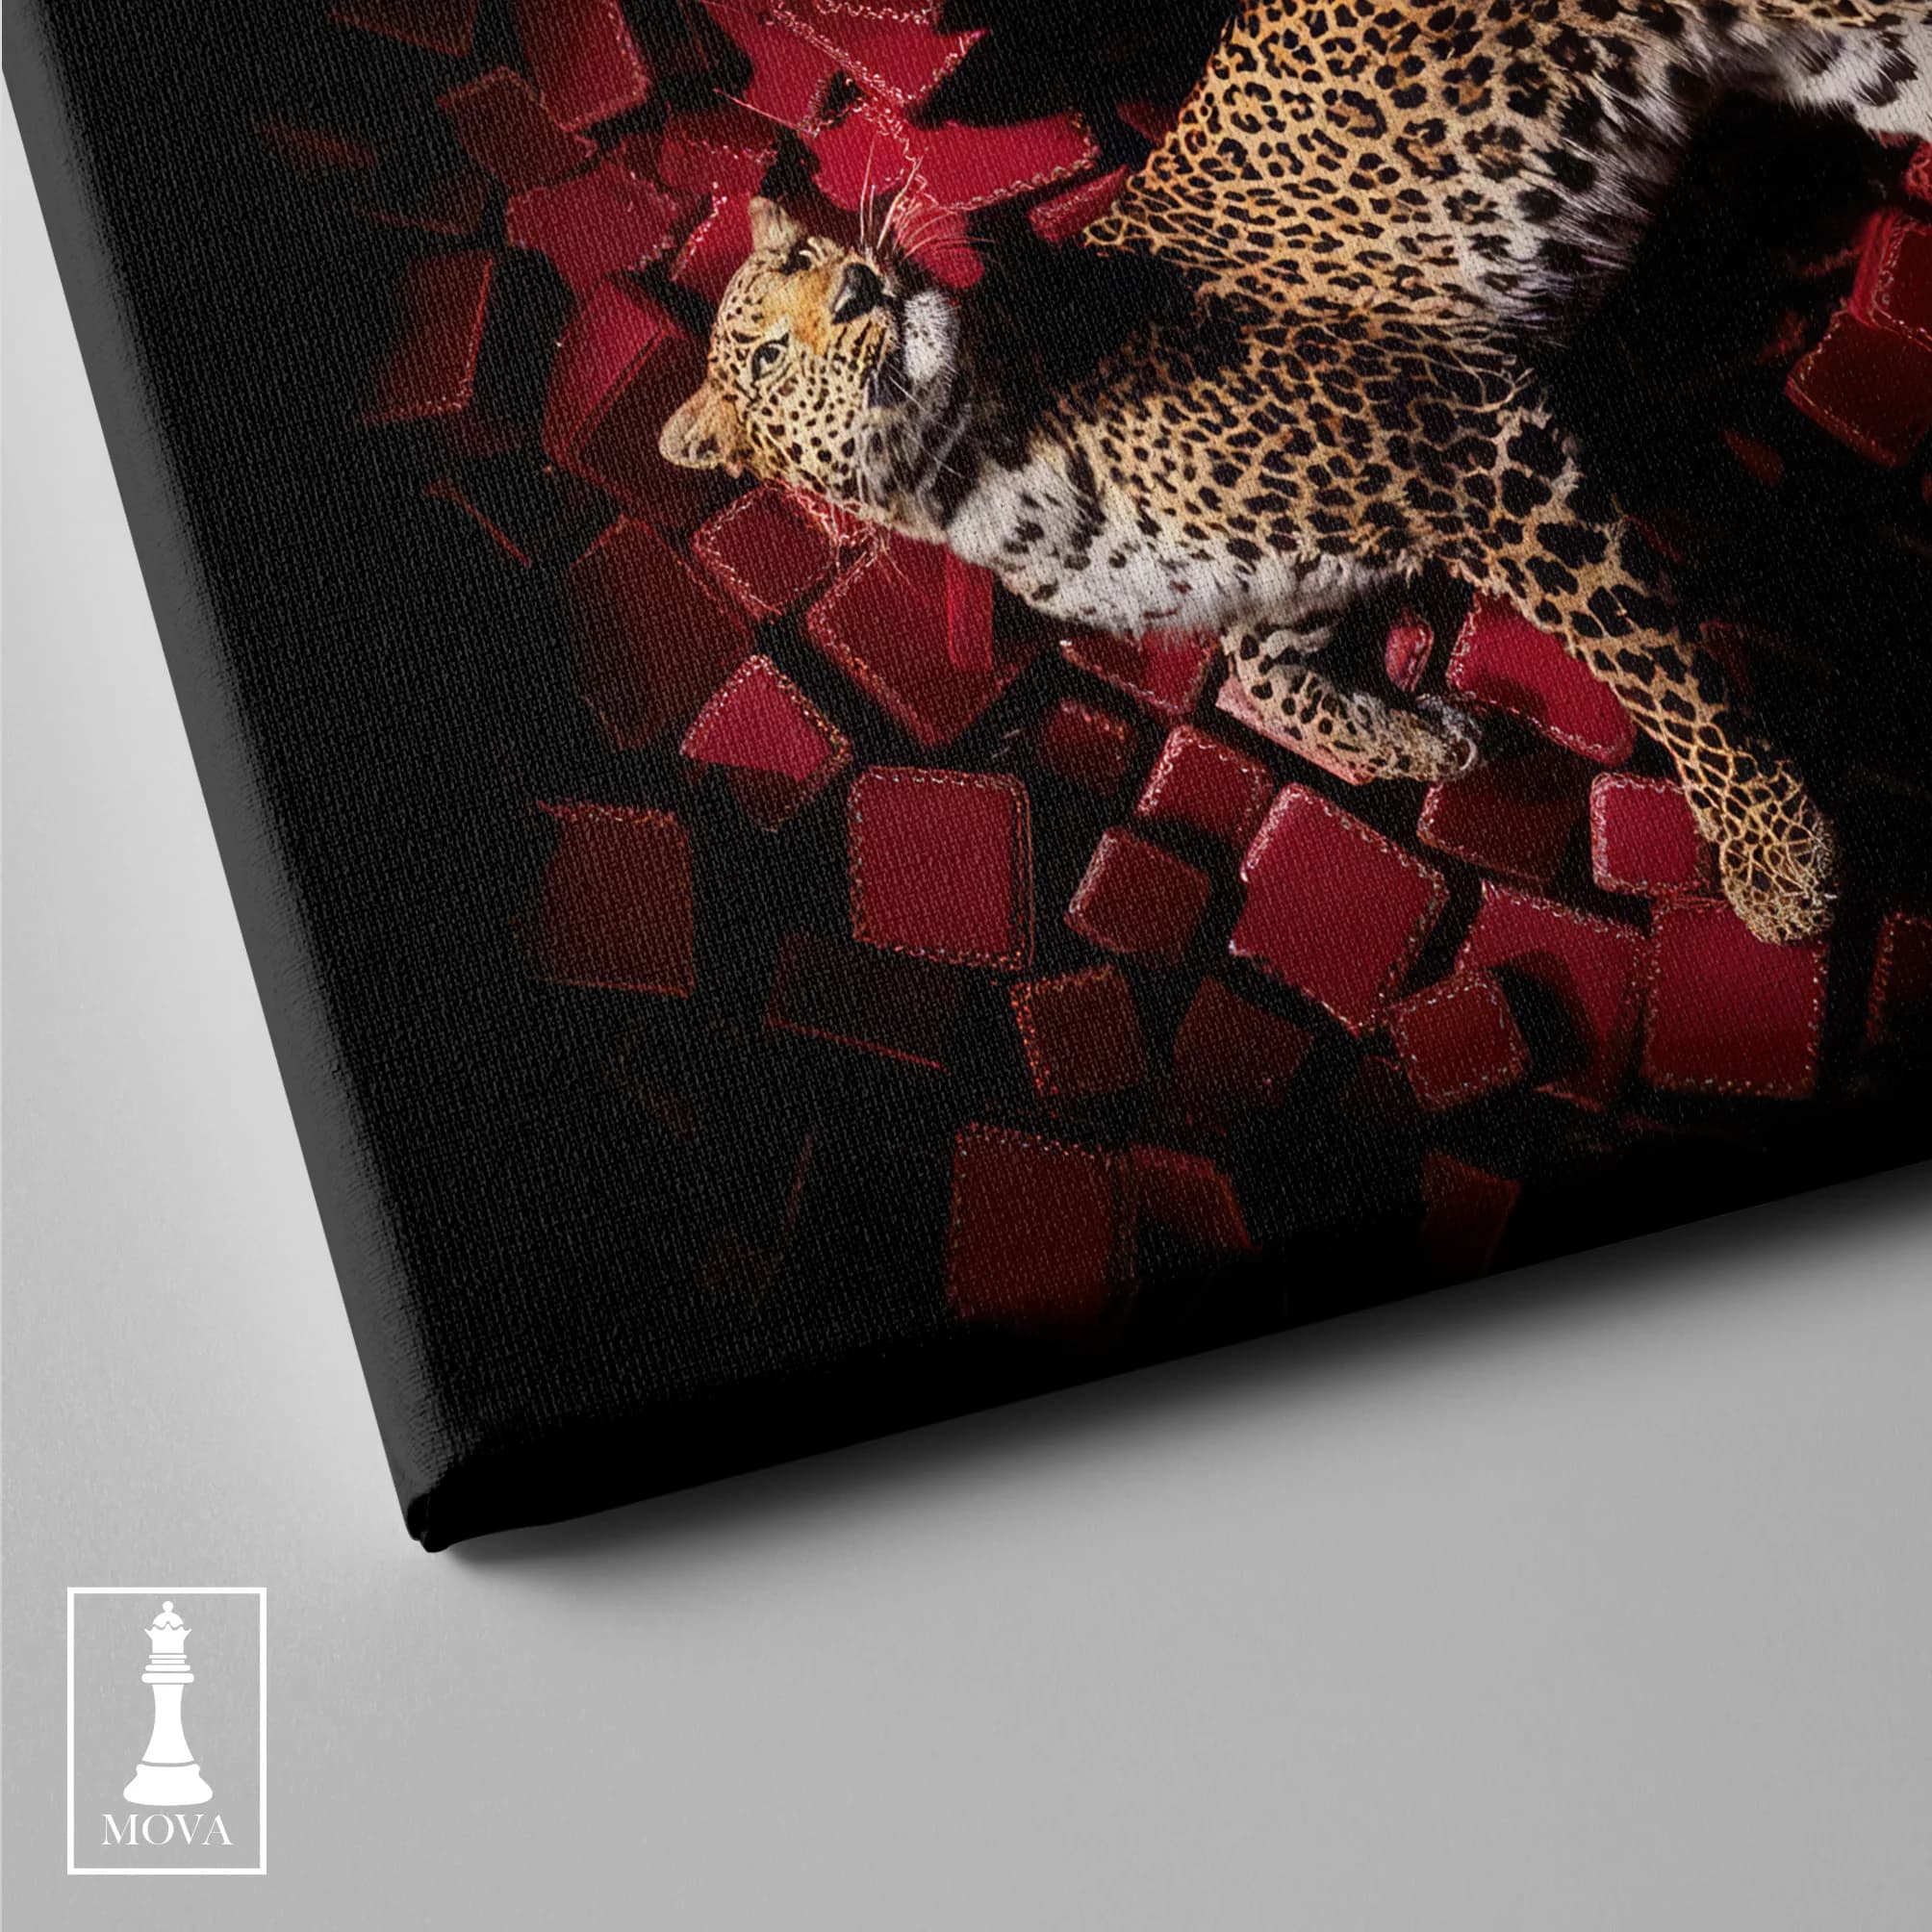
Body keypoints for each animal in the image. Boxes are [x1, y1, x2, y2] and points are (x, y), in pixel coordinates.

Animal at [662, 0, 1932, 944]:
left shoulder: (1468, 444)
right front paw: (1422, 738)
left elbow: (1645, 659)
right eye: (769, 351)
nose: (863, 287)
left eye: (822, 252)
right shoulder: (1296, 568)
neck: (971, 479)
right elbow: (1261, 675)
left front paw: (1775, 854)